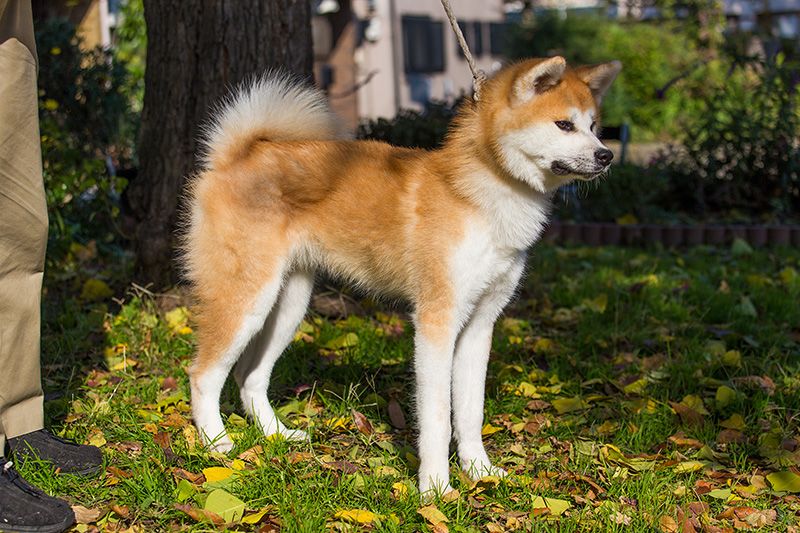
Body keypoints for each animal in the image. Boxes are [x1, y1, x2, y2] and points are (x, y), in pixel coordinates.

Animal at [184, 55, 620, 494]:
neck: (482, 196)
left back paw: (277, 434)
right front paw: (436, 489)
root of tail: (237, 155)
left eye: (594, 126)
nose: (607, 156)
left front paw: (479, 471)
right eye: (564, 125)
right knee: (204, 374)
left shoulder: (480, 325)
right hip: (247, 300)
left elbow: (470, 412)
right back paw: (217, 443)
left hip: (288, 305)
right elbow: (437, 419)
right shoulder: (436, 322)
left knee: (249, 376)